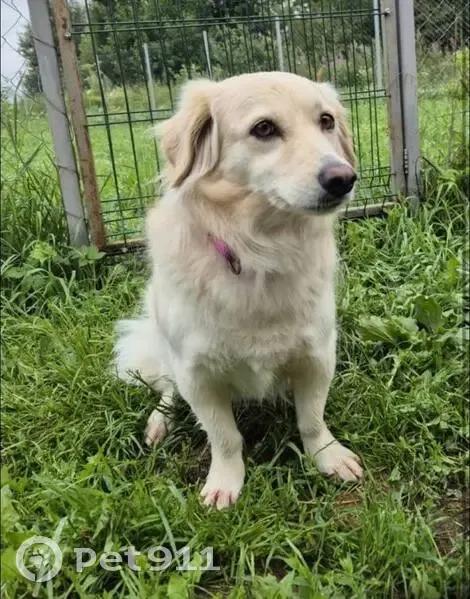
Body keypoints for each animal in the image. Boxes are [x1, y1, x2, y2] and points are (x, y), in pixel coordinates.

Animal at [115, 71, 363, 509]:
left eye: (327, 121)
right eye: (264, 129)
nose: (344, 178)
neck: (260, 251)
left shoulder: (318, 355)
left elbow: (312, 419)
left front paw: (327, 457)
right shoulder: (196, 375)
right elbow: (225, 436)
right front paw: (225, 482)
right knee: (166, 389)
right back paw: (160, 422)